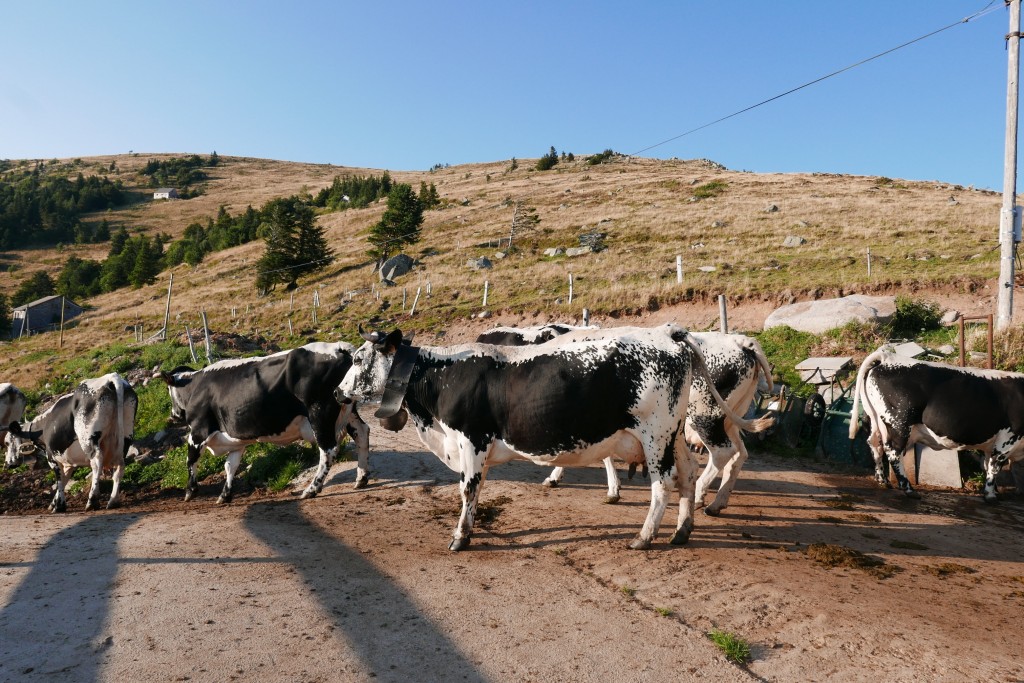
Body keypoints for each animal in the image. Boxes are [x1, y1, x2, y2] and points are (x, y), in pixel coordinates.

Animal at [6, 373, 137, 512]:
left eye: (8, 441)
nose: (8, 463)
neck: (44, 426)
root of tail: (110, 377)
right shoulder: (68, 461)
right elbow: (64, 480)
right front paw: (54, 503)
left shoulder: (52, 457)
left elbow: (59, 479)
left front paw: (59, 505)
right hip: (125, 435)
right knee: (119, 467)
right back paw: (113, 501)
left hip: (88, 438)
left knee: (97, 462)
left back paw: (92, 501)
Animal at [154, 341, 369, 504]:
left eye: (169, 390)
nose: (174, 415)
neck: (195, 387)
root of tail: (338, 347)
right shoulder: (235, 441)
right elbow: (230, 466)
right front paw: (225, 495)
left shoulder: (198, 432)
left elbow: (191, 460)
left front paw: (190, 491)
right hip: (346, 410)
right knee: (362, 432)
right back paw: (362, 478)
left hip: (320, 413)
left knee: (328, 449)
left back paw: (311, 489)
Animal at [538, 331, 774, 514]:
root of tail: (741, 341)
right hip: (730, 419)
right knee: (739, 454)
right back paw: (717, 503)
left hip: (705, 416)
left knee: (722, 452)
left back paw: (698, 495)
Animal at [850, 347, 1024, 502]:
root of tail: (887, 357)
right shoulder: (1007, 439)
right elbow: (994, 467)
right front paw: (990, 495)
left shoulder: (992, 444)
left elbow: (988, 465)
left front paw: (994, 491)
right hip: (899, 424)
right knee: (893, 452)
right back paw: (908, 489)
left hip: (876, 420)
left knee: (875, 445)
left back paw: (882, 480)